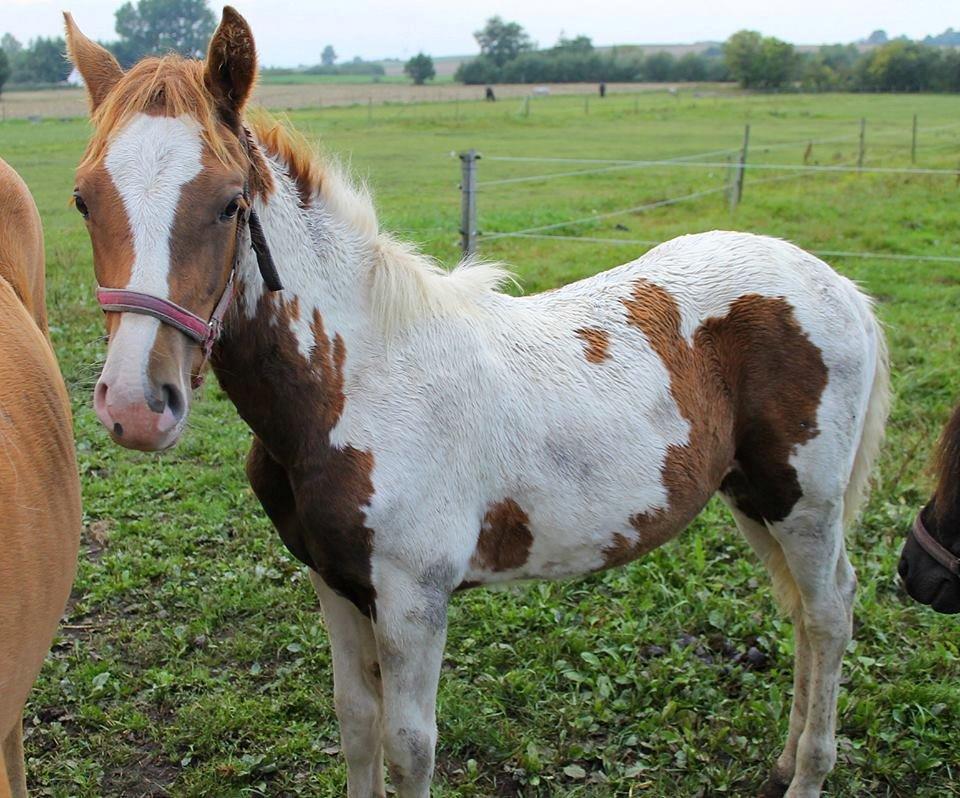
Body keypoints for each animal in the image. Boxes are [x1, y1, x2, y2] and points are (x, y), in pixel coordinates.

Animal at [67, 7, 892, 798]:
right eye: (82, 200)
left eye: (229, 203)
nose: (136, 404)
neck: (357, 383)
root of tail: (837, 285)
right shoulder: (331, 580)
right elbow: (356, 723)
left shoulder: (412, 598)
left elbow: (409, 749)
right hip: (750, 495)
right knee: (801, 614)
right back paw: (784, 764)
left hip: (804, 505)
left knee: (830, 612)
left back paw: (809, 775)